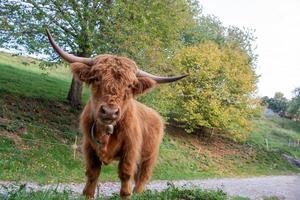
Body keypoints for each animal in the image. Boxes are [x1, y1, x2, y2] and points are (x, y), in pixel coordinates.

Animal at [45, 29, 186, 198]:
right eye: (96, 78)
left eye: (130, 86)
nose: (110, 112)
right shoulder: (89, 148)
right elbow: (92, 175)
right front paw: (88, 194)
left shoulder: (130, 151)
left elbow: (125, 177)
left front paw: (126, 194)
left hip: (150, 156)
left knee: (143, 177)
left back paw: (138, 194)